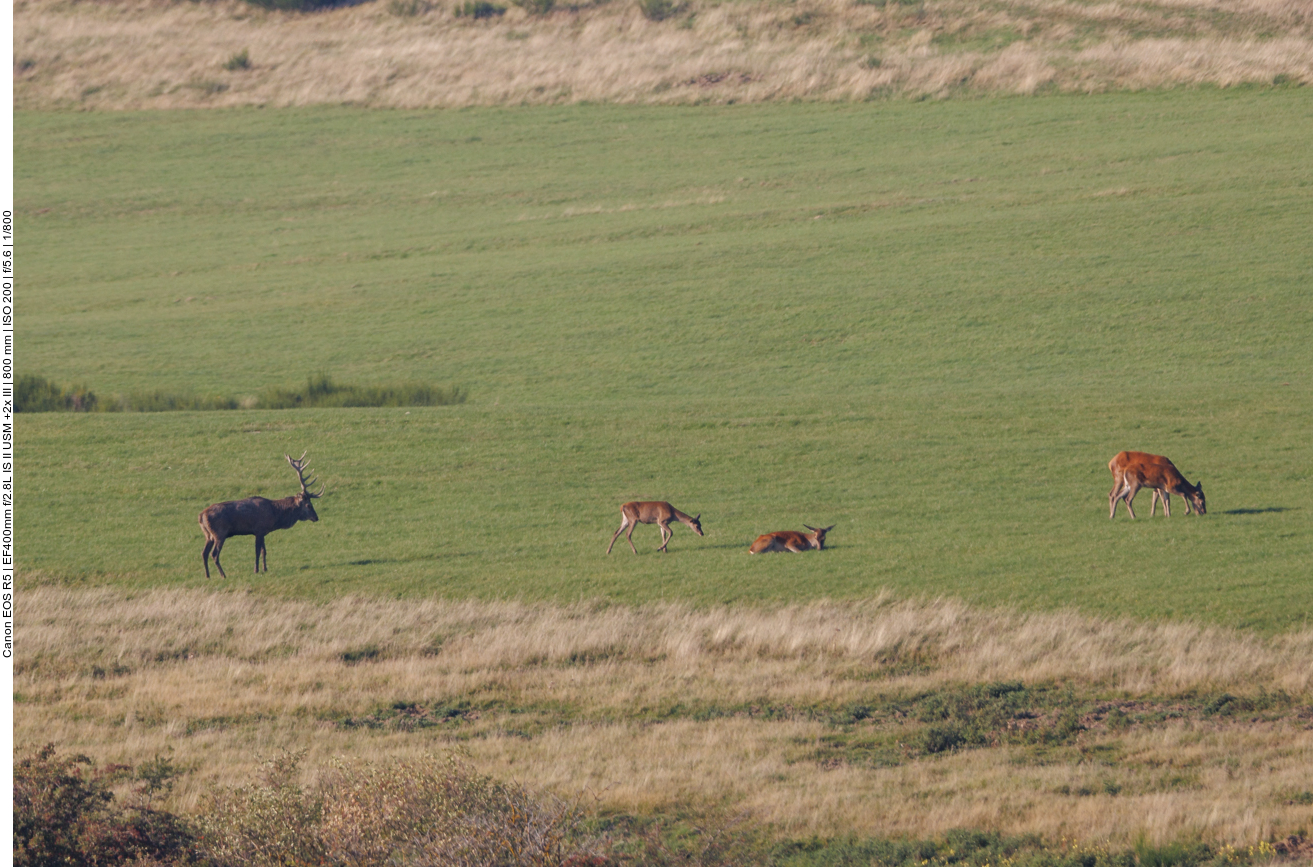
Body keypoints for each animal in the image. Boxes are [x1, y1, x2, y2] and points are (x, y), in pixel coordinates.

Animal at [198, 449, 324, 578]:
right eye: (308, 505)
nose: (316, 517)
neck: (275, 514)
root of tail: (201, 516)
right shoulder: (259, 529)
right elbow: (257, 551)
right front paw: (256, 570)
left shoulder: (263, 531)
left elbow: (264, 551)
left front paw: (265, 568)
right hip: (219, 533)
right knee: (214, 554)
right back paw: (223, 575)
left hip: (208, 535)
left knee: (204, 553)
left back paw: (208, 576)